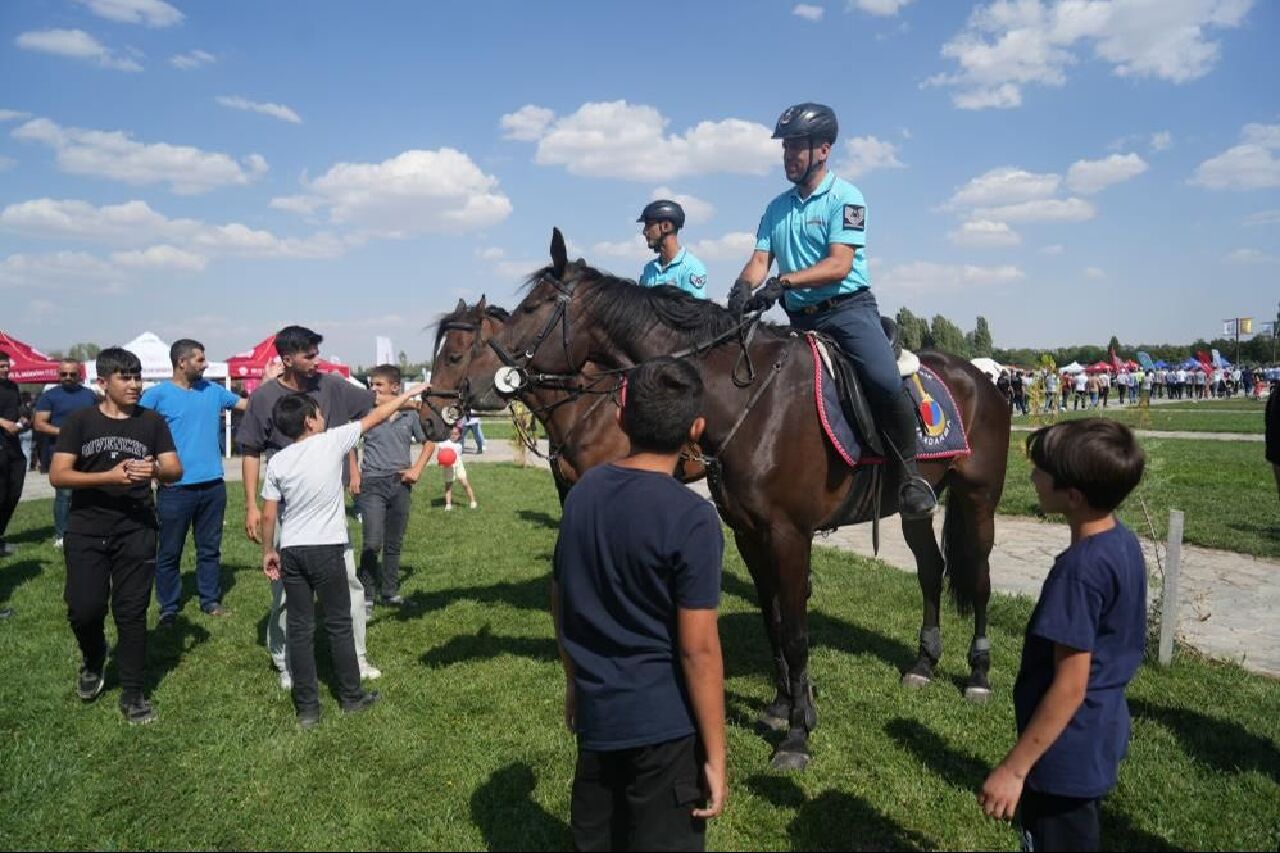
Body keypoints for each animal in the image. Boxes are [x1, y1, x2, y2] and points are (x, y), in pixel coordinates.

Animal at [427, 229, 1008, 768]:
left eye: (530, 309)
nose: (445, 409)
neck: (749, 401)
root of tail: (978, 376)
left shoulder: (788, 534)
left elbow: (795, 631)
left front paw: (798, 732)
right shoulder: (746, 529)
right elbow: (773, 619)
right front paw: (782, 704)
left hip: (979, 498)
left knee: (978, 580)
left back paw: (978, 674)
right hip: (918, 505)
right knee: (931, 571)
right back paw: (923, 664)